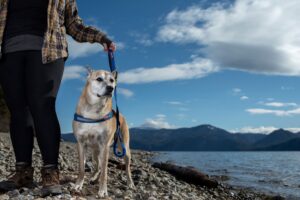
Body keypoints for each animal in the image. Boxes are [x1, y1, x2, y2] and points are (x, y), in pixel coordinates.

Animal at [72, 67, 134, 197]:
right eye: (99, 79)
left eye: (112, 80)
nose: (111, 88)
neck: (93, 110)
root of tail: (120, 114)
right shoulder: (81, 143)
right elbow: (82, 168)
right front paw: (78, 184)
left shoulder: (105, 146)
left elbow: (105, 172)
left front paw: (103, 190)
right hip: (95, 151)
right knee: (98, 167)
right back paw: (94, 178)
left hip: (124, 148)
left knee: (127, 168)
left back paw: (130, 182)